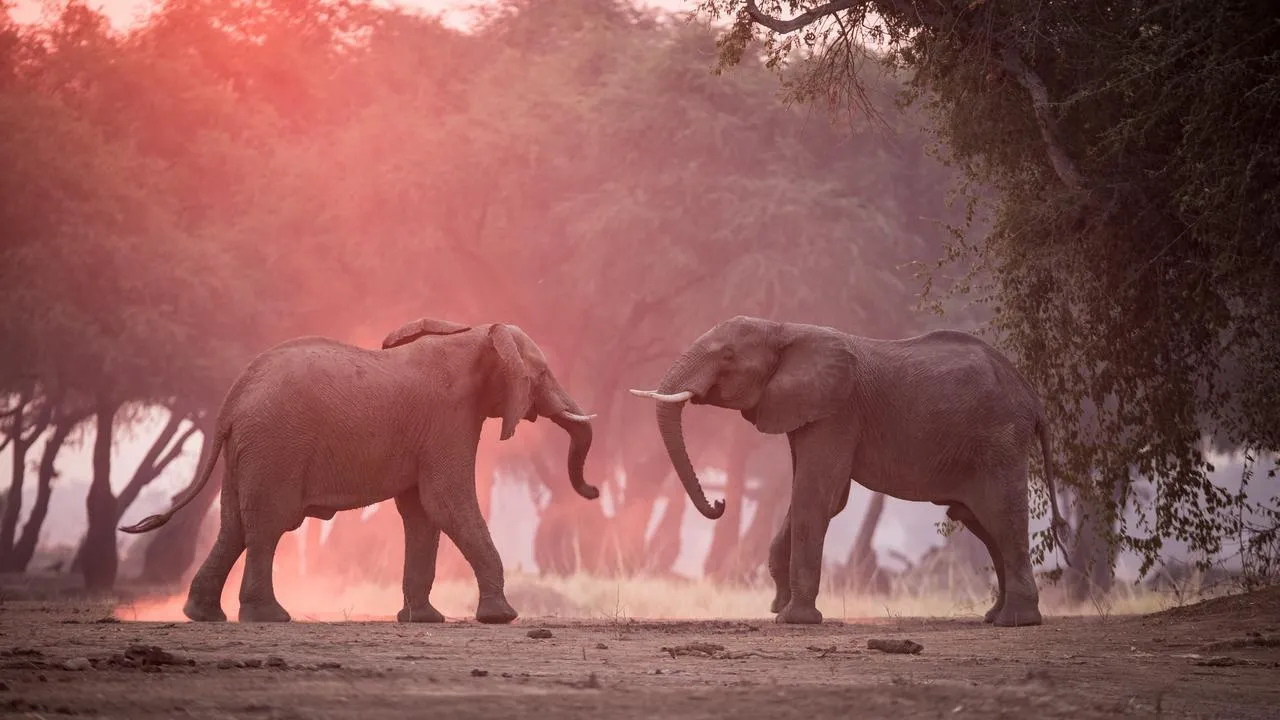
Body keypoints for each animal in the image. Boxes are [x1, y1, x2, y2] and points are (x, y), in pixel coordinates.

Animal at [121, 319, 598, 624]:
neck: (477, 334)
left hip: (248, 450)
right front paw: (500, 618)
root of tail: (232, 399)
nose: (593, 492)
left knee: (233, 527)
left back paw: (203, 615)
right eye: (541, 374)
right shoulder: (448, 421)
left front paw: (422, 620)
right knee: (267, 526)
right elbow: (445, 503)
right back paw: (268, 617)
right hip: (275, 446)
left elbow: (421, 514)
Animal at [630, 315, 1068, 627]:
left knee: (1000, 517)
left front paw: (795, 620)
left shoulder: (836, 411)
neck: (783, 329)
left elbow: (817, 493)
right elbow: (820, 497)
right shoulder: (805, 411)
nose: (719, 502)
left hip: (1000, 438)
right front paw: (778, 607)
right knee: (981, 523)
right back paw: (995, 617)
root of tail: (1033, 398)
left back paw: (1016, 622)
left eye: (726, 357)